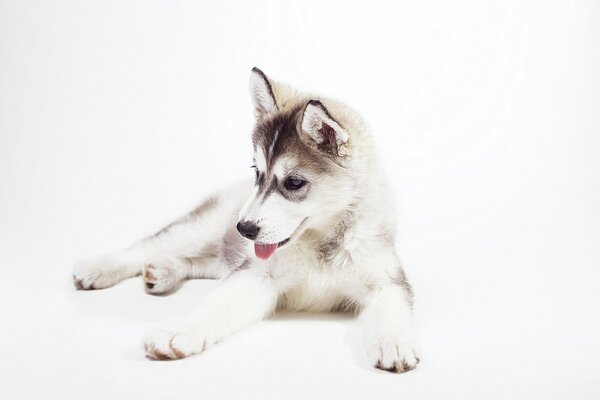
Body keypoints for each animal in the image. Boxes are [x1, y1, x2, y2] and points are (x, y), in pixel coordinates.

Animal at [72, 68, 420, 372]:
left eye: (294, 183)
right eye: (257, 172)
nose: (245, 229)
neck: (321, 241)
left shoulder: (388, 279)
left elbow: (392, 307)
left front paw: (394, 343)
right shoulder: (257, 275)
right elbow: (216, 304)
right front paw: (179, 330)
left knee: (206, 262)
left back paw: (164, 271)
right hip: (203, 226)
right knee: (148, 246)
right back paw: (100, 267)